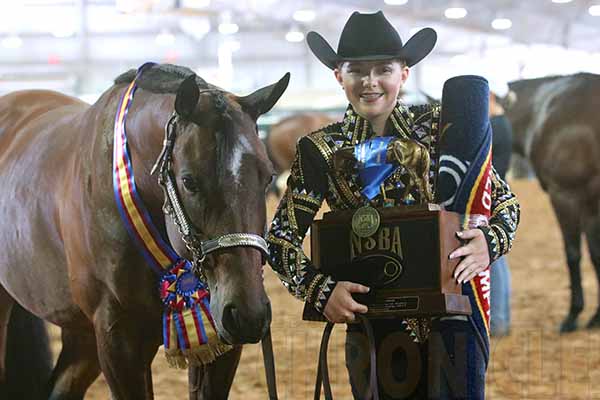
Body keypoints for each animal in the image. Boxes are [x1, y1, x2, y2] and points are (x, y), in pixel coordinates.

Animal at [0, 64, 290, 398]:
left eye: (267, 177)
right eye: (189, 181)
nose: (247, 314)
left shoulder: (219, 343)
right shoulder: (119, 342)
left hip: (82, 332)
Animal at [504, 71, 600, 332]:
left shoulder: (564, 195)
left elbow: (573, 254)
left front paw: (572, 316)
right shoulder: (591, 204)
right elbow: (595, 254)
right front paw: (596, 317)